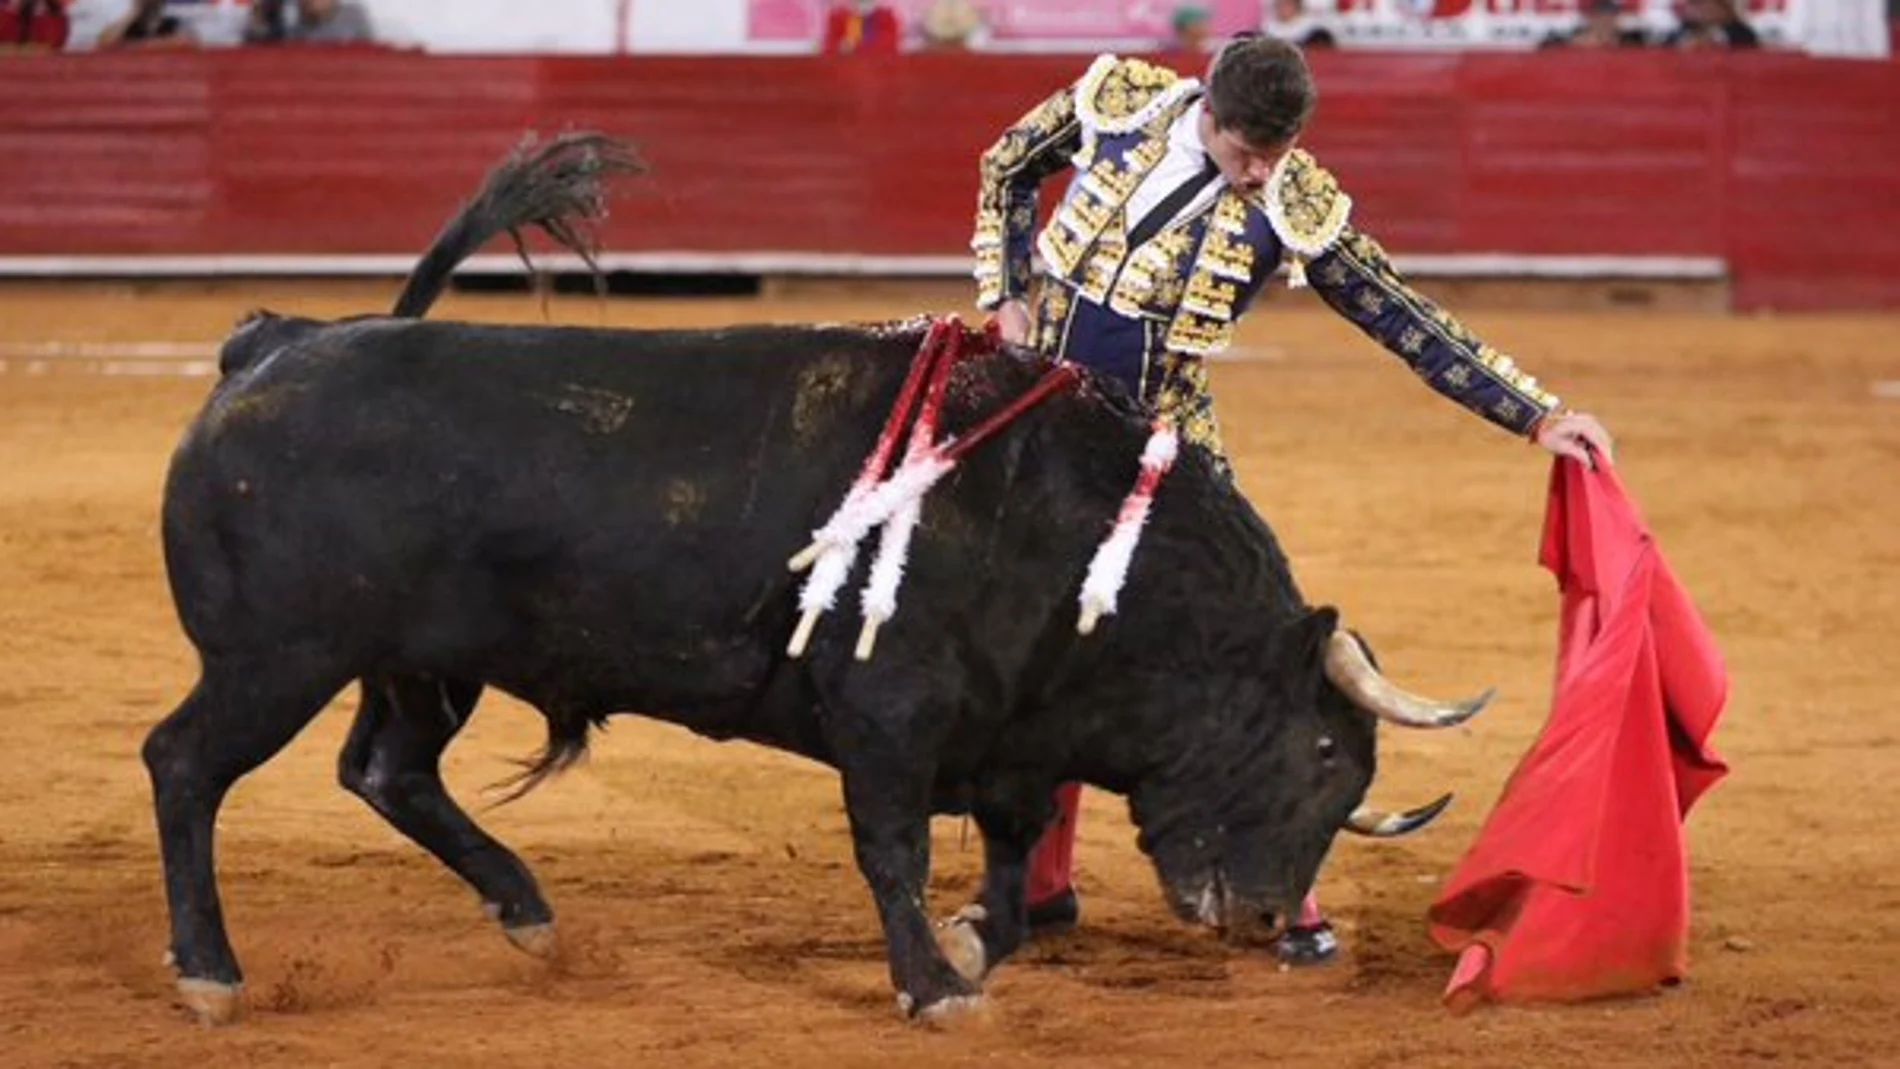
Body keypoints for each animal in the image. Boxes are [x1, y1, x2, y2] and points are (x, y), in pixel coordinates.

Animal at [144, 137, 1482, 1025]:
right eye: (1321, 751)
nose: (1262, 915)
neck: (1074, 539)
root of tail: (275, 343)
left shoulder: (1008, 735)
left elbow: (1004, 860)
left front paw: (973, 948)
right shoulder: (887, 717)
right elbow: (892, 850)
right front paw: (932, 985)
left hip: (422, 666)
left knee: (387, 770)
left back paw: (526, 914)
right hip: (276, 658)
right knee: (185, 764)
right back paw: (211, 973)